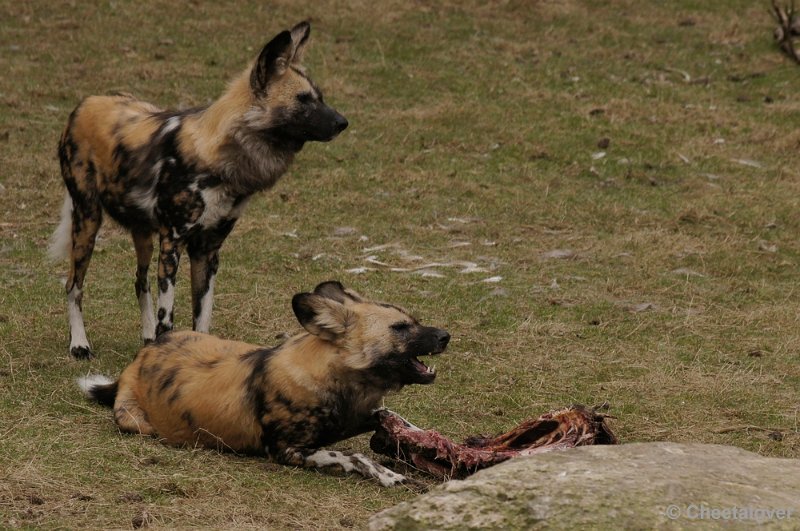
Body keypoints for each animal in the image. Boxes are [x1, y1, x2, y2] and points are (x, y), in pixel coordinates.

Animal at [50, 22, 346, 360]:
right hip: (87, 221)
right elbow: (168, 318)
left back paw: (145, 338)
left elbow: (202, 319)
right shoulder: (173, 243)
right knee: (73, 285)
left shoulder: (207, 250)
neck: (220, 157)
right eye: (303, 99)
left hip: (142, 232)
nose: (343, 122)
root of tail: (87, 101)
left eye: (319, 97)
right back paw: (79, 343)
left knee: (140, 281)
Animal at [79, 282, 454, 486]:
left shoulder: (362, 412)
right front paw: (391, 475)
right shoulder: (287, 451)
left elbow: (396, 418)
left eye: (414, 321)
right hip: (134, 421)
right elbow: (357, 456)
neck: (340, 383)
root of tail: (138, 360)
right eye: (400, 328)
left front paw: (436, 447)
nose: (446, 335)